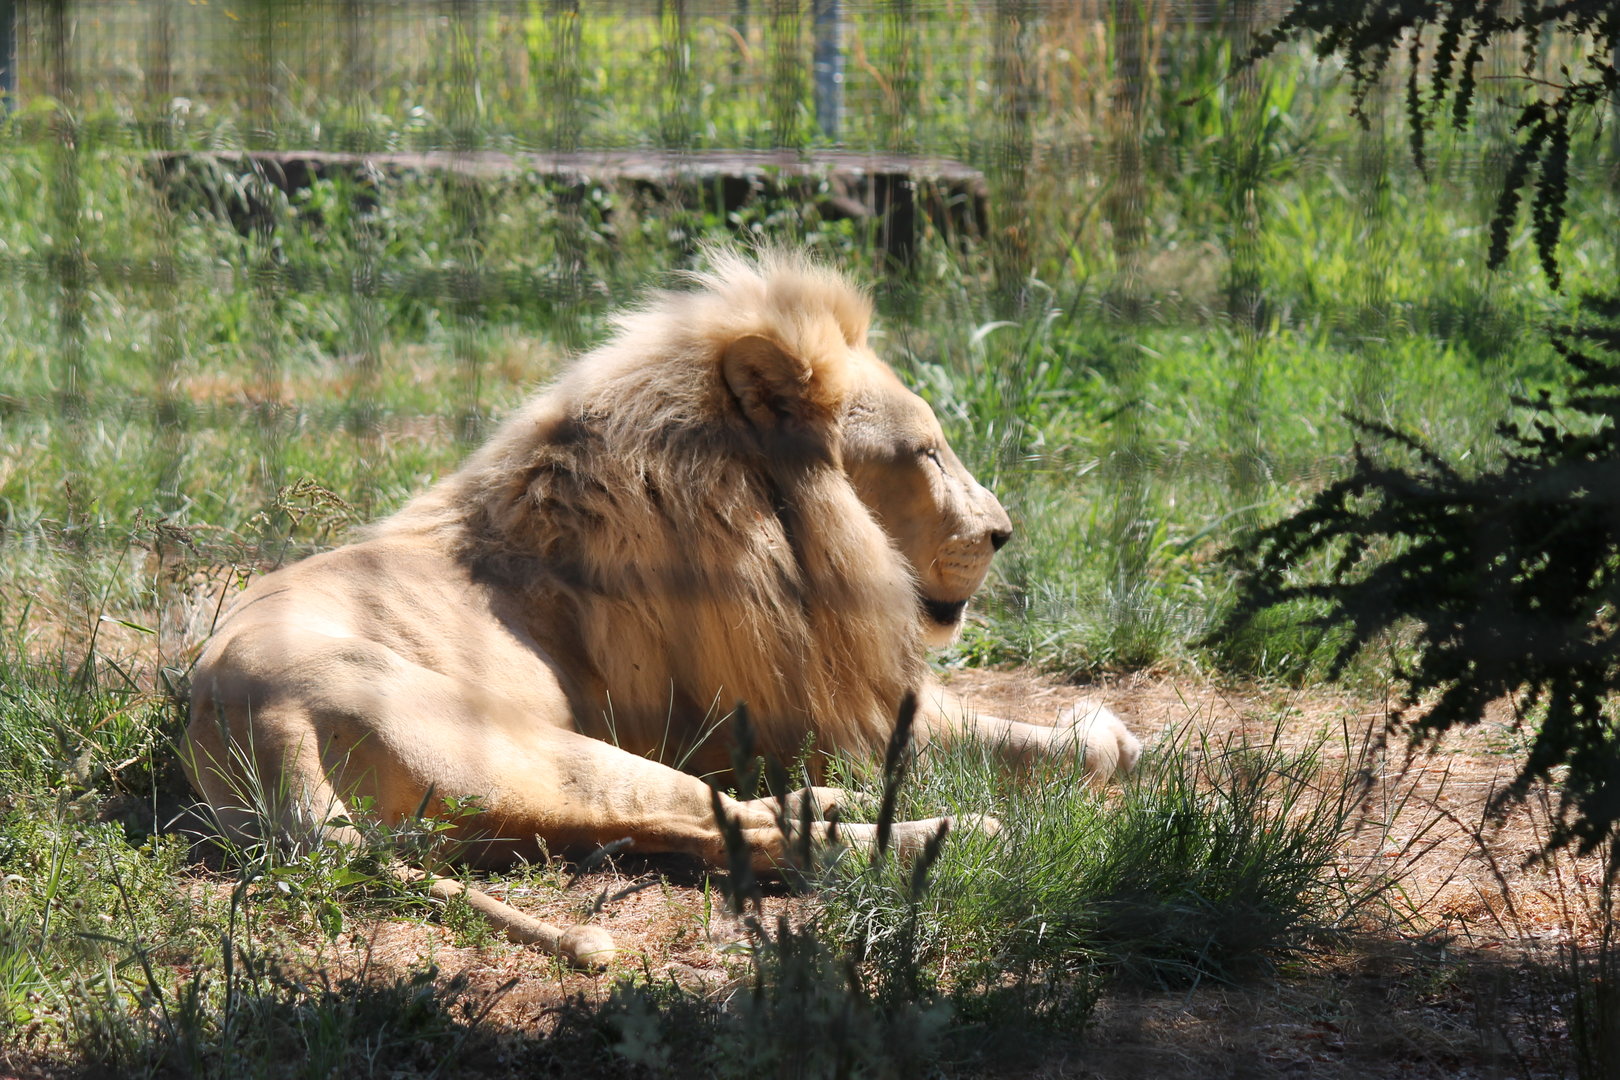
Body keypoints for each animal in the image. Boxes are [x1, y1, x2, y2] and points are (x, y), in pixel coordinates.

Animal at [184, 249, 1140, 967]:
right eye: (926, 453)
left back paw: (841, 804)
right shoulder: (794, 708)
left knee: (723, 832)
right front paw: (1101, 742)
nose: (1004, 533)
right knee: (739, 828)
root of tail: (260, 742)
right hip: (539, 754)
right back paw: (963, 830)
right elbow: (991, 731)